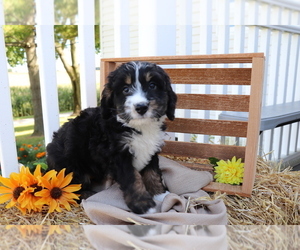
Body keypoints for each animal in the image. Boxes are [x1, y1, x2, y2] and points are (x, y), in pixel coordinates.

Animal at [47, 61, 177, 214]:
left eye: (152, 85)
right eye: (126, 89)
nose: (141, 107)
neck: (138, 127)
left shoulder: (151, 150)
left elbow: (153, 173)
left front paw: (160, 194)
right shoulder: (119, 155)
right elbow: (133, 179)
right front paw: (143, 205)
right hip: (71, 165)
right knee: (72, 190)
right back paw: (88, 195)